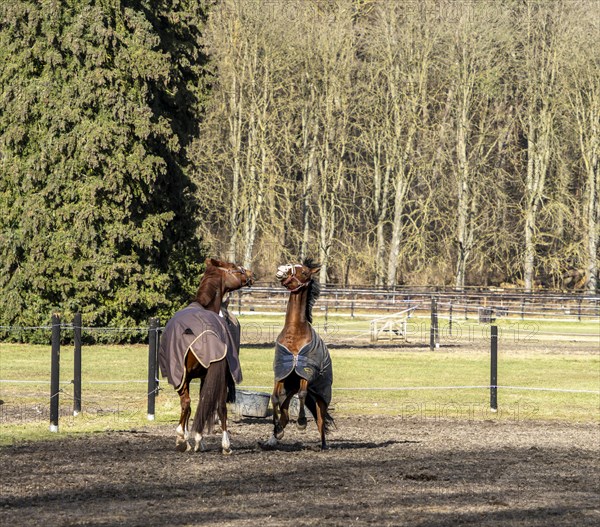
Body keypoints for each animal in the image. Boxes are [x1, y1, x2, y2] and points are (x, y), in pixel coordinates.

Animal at [157, 260, 253, 454]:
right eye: (234, 267)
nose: (250, 274)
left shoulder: (188, 377)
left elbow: (191, 406)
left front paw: (189, 438)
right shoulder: (206, 376)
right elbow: (206, 403)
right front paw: (198, 440)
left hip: (181, 377)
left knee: (186, 403)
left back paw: (181, 438)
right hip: (217, 377)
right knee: (219, 407)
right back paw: (224, 445)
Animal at [266, 258, 332, 450]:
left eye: (304, 272)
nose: (282, 269)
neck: (295, 332)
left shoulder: (305, 372)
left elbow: (302, 394)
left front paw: (302, 423)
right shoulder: (281, 373)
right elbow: (274, 398)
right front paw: (277, 431)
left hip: (321, 397)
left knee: (320, 419)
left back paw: (324, 445)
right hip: (289, 391)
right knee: (285, 414)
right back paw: (273, 437)